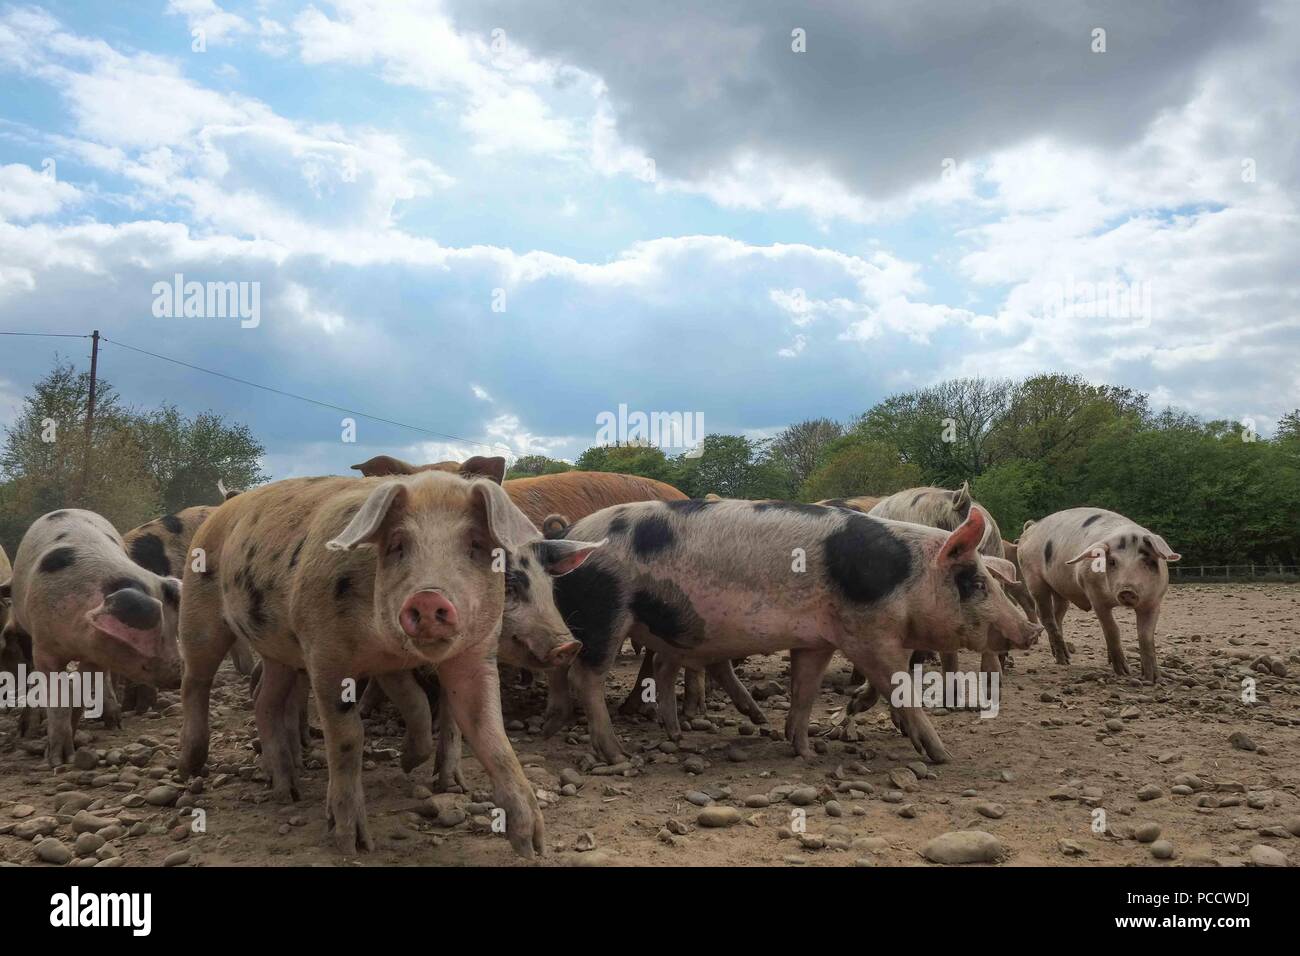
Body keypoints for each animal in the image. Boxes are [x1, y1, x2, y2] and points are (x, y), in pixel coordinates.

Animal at [3, 512, 183, 764]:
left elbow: (81, 690)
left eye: (175, 629)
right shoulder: (44, 648)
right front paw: (57, 759)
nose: (180, 676)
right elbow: (56, 696)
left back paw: (114, 723)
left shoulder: (96, 655)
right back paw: (27, 731)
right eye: (152, 642)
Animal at [170, 476, 577, 858]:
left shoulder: (463, 656)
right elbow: (349, 737)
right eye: (397, 544)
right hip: (198, 612)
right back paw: (191, 767)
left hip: (277, 649)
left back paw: (287, 791)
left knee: (263, 701)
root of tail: (221, 510)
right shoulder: (325, 655)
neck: (394, 649)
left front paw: (532, 843)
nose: (428, 597)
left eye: (476, 545)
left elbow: (483, 730)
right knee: (195, 680)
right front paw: (351, 843)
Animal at [538, 502, 1034, 764]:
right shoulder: (868, 633)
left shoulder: (816, 640)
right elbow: (900, 689)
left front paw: (804, 749)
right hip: (605, 612)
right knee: (586, 676)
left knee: (653, 667)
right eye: (974, 581)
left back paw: (675, 736)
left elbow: (805, 691)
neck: (904, 576)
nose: (1029, 631)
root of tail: (572, 537)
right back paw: (617, 755)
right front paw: (942, 756)